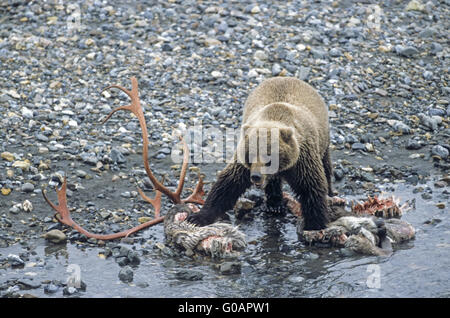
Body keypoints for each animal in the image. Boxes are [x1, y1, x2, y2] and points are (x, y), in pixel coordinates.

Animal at [187, 77, 334, 231]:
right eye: (250, 155)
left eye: (269, 157)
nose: (256, 176)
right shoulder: (243, 163)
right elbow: (227, 184)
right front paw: (197, 217)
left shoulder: (302, 159)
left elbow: (311, 187)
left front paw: (315, 224)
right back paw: (274, 205)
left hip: (323, 140)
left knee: (325, 165)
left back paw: (329, 192)